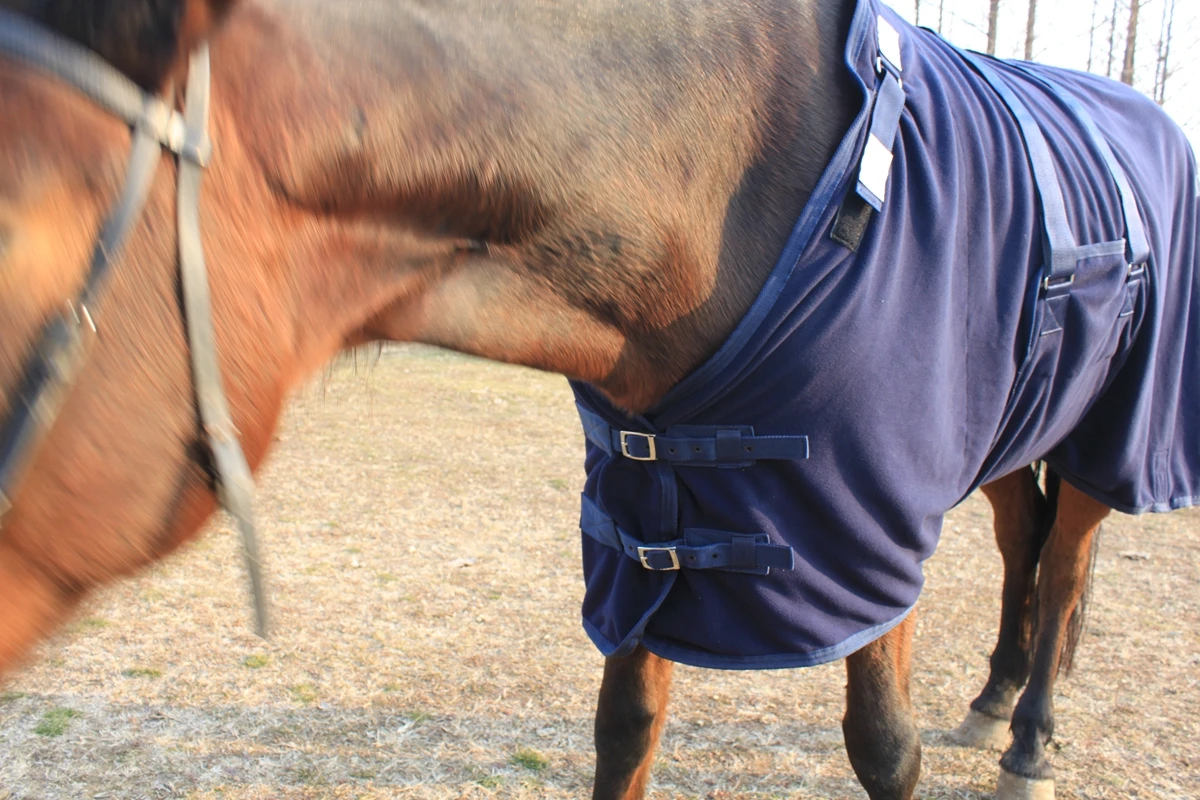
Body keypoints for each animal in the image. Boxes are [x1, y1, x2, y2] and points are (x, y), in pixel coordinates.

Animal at [1, 1, 1196, 799]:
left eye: (10, 235)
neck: (722, 182)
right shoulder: (644, 513)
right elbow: (627, 723)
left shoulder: (869, 532)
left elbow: (884, 747)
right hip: (1010, 439)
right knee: (1025, 548)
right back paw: (993, 700)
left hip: (1110, 435)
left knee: (1068, 563)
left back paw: (1029, 739)